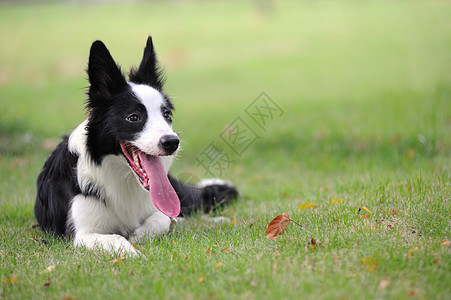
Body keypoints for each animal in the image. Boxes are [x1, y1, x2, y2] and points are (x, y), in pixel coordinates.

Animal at [34, 35, 238, 255]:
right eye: (133, 117)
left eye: (167, 115)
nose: (172, 142)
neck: (122, 179)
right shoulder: (83, 234)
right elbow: (117, 238)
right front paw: (135, 253)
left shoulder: (159, 206)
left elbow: (164, 218)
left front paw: (139, 235)